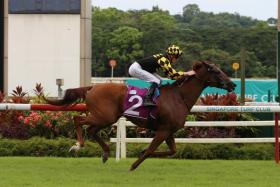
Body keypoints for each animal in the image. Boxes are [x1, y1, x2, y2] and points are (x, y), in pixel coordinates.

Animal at [44, 60, 236, 170]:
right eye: (216, 71)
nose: (232, 84)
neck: (179, 97)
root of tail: (92, 87)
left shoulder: (169, 130)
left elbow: (172, 151)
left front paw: (140, 152)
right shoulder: (163, 130)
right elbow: (151, 149)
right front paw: (133, 165)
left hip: (105, 118)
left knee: (91, 130)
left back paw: (105, 154)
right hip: (104, 116)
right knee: (78, 119)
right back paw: (77, 145)